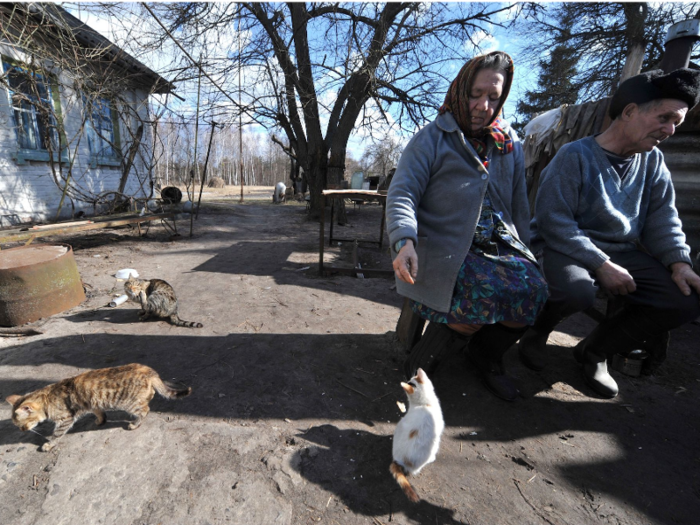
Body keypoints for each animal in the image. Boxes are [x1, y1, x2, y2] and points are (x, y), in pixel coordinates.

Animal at [5, 362, 193, 452]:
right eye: (17, 426)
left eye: (22, 425)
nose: (21, 431)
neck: (47, 398)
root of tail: (149, 370)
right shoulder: (92, 403)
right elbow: (99, 412)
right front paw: (100, 420)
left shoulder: (65, 420)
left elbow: (56, 434)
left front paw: (48, 445)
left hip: (129, 403)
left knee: (145, 410)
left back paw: (135, 424)